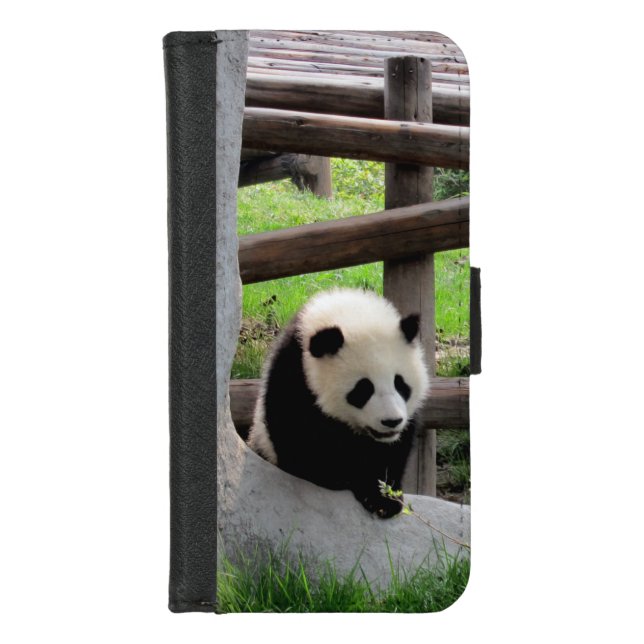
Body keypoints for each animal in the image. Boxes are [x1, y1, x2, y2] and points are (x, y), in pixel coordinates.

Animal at [247, 288, 430, 518]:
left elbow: (394, 449)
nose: (391, 421)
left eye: (400, 383)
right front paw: (346, 480)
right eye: (363, 389)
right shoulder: (294, 376)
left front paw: (384, 499)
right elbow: (304, 443)